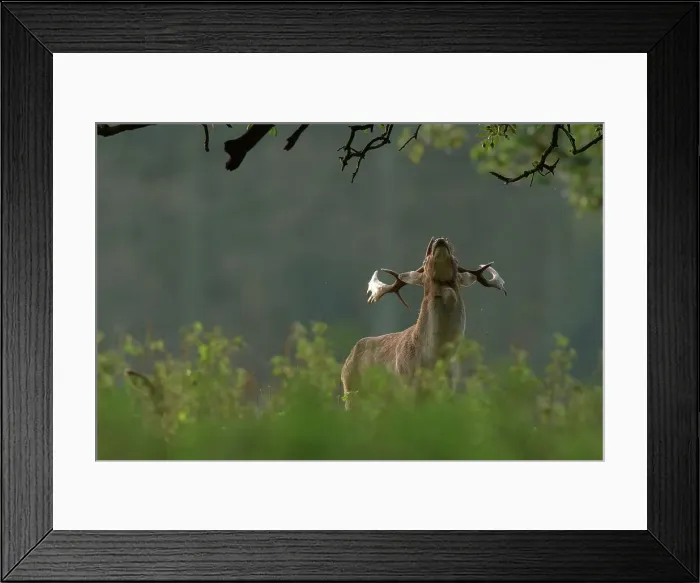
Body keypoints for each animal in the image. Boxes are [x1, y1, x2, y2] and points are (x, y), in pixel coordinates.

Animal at [340, 236, 507, 410]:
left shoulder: (450, 390)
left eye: (456, 259)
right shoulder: (407, 387)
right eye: (424, 261)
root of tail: (346, 362)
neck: (434, 358)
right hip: (352, 395)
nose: (440, 240)